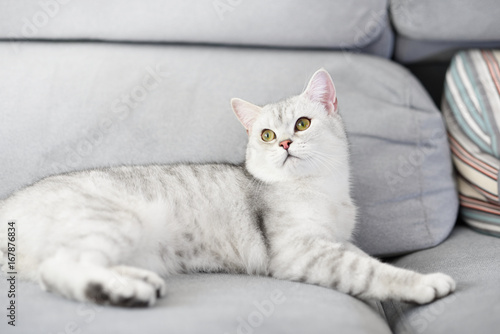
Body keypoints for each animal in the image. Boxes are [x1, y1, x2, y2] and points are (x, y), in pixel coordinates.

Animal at [0, 69, 458, 306]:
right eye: (267, 135)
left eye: (302, 124)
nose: (286, 143)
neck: (320, 187)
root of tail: (9, 206)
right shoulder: (299, 249)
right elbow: (367, 268)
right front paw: (421, 282)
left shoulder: (334, 239)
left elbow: (361, 255)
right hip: (112, 220)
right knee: (60, 268)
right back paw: (123, 291)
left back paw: (136, 280)